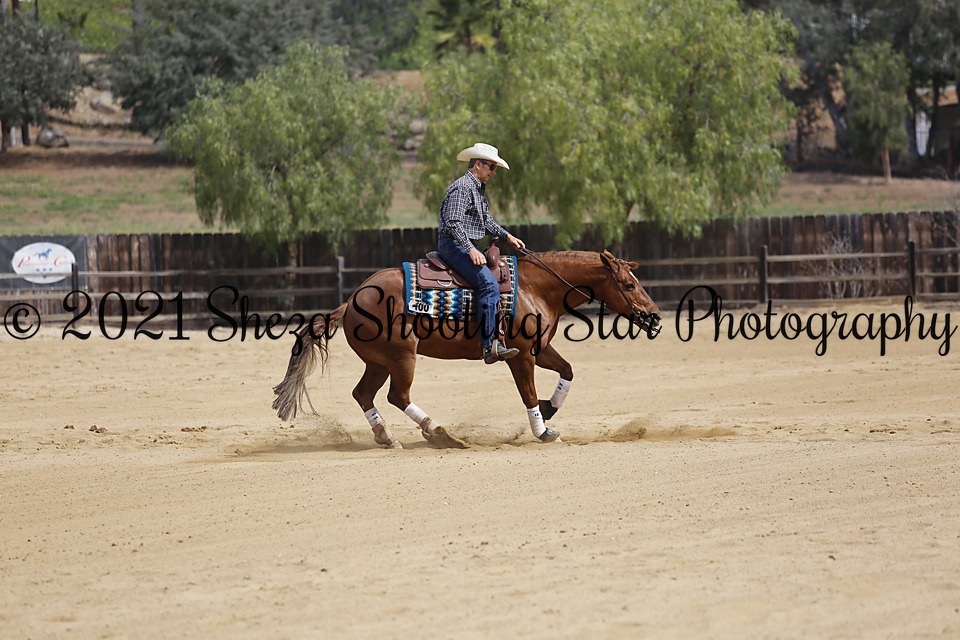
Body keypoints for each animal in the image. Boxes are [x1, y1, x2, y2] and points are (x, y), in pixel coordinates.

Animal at [272, 249, 661, 448]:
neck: (535, 287)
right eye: (629, 284)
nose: (655, 316)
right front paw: (542, 431)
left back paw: (387, 436)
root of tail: (353, 298)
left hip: (379, 361)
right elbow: (527, 394)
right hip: (402, 356)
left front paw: (550, 409)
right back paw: (440, 433)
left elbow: (567, 371)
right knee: (397, 395)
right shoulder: (520, 356)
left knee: (363, 393)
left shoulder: (540, 349)